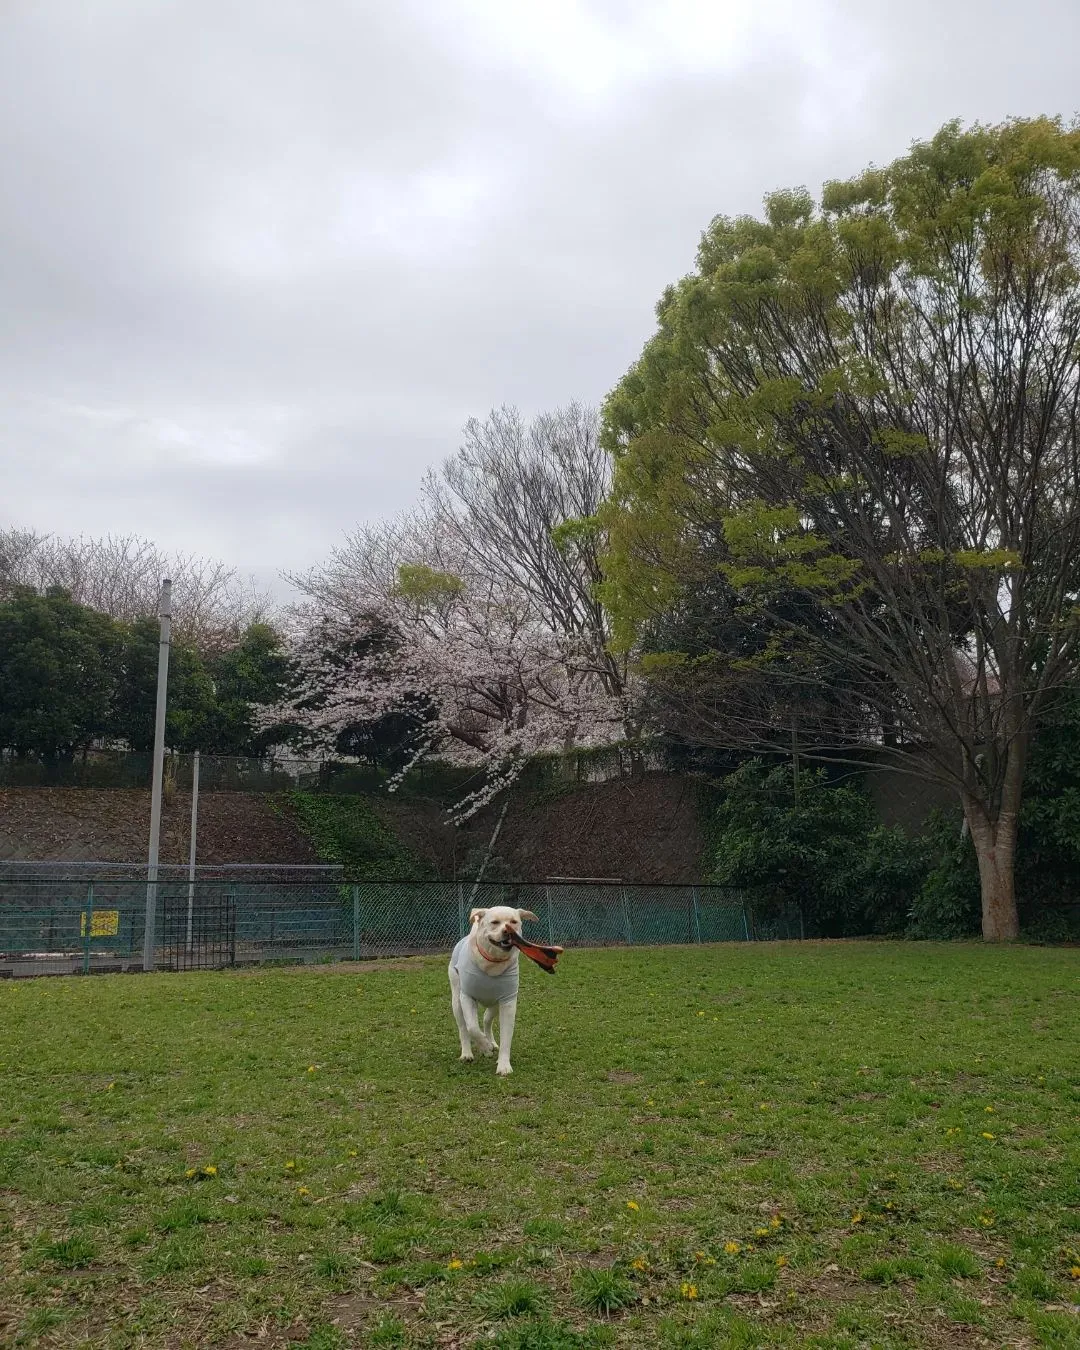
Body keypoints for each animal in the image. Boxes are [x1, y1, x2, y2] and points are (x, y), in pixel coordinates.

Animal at [448, 901, 540, 1080]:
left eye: (513, 922)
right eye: (495, 922)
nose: (507, 931)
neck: (492, 964)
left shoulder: (508, 1002)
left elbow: (506, 1037)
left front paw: (503, 1065)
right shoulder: (467, 998)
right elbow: (472, 1027)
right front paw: (484, 1047)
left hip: (494, 1005)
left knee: (486, 1019)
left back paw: (491, 1041)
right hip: (456, 1001)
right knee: (463, 1028)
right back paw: (467, 1053)